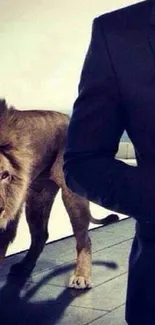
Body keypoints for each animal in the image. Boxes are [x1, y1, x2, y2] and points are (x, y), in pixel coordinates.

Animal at [0, 99, 117, 288]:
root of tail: (68, 117)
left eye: (5, 175)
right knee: (41, 236)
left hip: (71, 197)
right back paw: (24, 266)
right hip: (37, 199)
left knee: (84, 239)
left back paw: (81, 276)